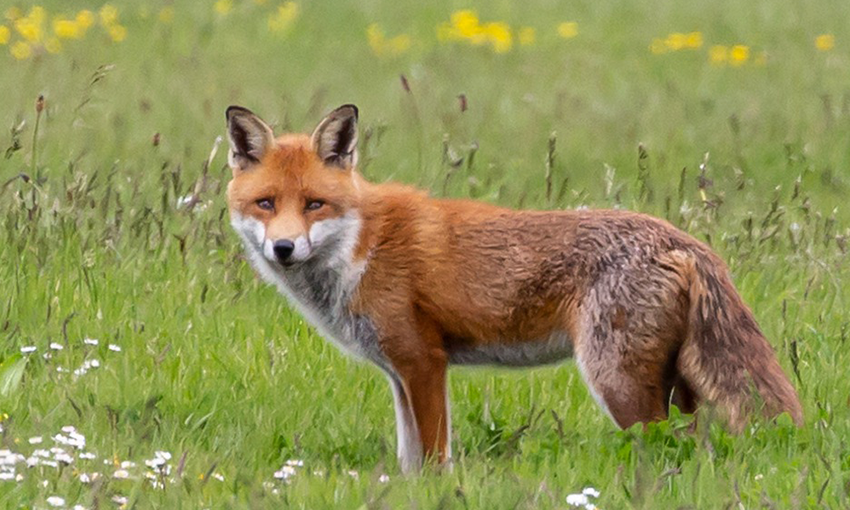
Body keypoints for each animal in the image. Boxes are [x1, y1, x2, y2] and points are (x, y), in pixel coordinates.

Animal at [224, 103, 800, 474]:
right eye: (266, 204)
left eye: (314, 204)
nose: (283, 249)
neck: (360, 246)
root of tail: (685, 240)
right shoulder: (398, 373)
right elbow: (410, 460)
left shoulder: (423, 362)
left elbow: (434, 459)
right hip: (675, 388)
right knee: (694, 449)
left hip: (618, 382)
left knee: (662, 450)